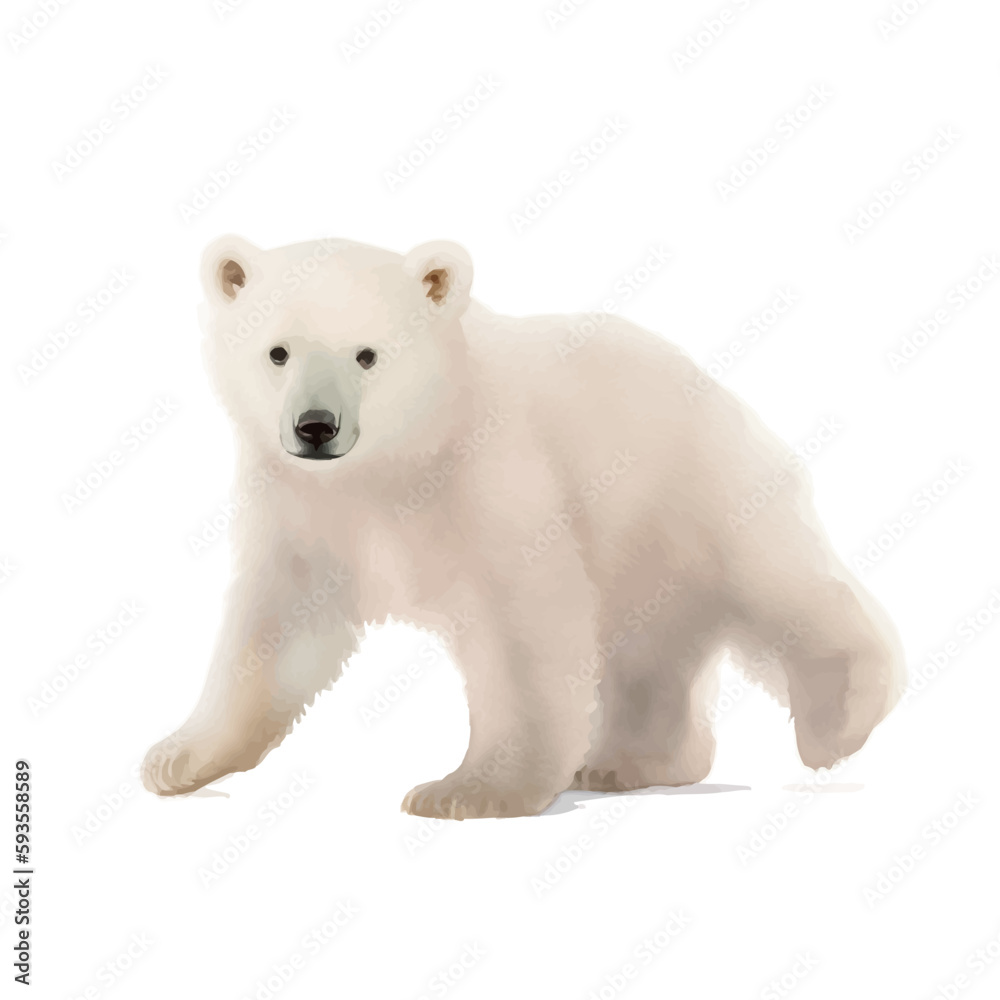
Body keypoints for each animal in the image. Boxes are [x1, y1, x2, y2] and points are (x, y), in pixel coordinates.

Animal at [141, 234, 906, 819]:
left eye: (368, 354)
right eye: (277, 352)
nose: (316, 427)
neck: (402, 461)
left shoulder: (493, 477)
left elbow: (522, 625)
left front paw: (469, 791)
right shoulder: (305, 510)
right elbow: (277, 632)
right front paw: (177, 758)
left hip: (690, 490)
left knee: (776, 584)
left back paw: (843, 718)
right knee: (651, 649)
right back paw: (631, 762)